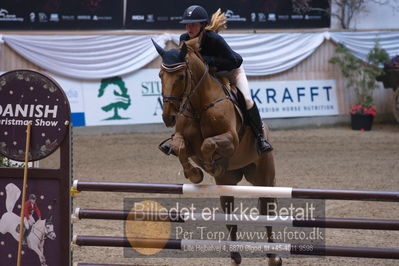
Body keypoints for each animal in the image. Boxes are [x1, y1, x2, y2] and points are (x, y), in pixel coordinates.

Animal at [152, 38, 282, 266]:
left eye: (181, 76)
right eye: (160, 75)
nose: (168, 117)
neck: (199, 105)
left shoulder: (230, 140)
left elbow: (208, 145)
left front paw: (211, 165)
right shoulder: (184, 140)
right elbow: (179, 147)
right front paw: (195, 173)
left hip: (263, 178)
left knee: (267, 212)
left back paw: (273, 256)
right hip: (227, 184)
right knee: (230, 218)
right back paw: (235, 255)